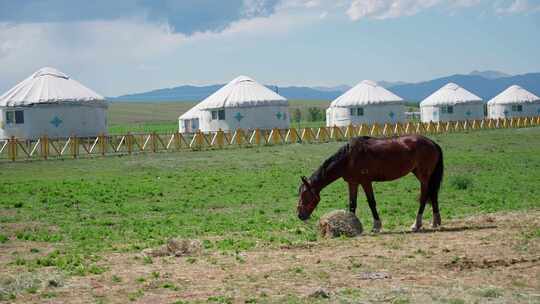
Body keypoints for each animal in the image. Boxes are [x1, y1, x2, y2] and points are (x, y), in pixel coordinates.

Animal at [300, 134, 442, 232]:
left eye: (304, 195)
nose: (300, 215)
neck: (349, 158)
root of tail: (432, 143)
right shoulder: (353, 183)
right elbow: (352, 204)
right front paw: (352, 226)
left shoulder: (366, 182)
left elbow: (371, 202)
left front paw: (376, 226)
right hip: (422, 175)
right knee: (433, 194)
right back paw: (435, 222)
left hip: (423, 176)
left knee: (424, 196)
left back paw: (416, 224)